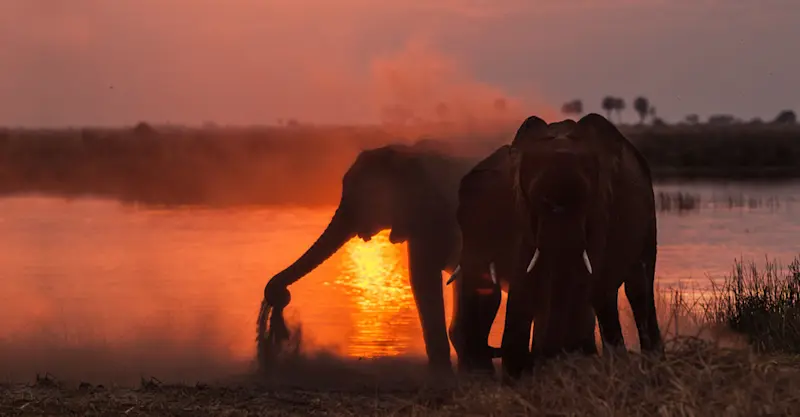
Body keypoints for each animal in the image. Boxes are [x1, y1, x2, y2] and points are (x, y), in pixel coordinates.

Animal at [450, 113, 663, 379]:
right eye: (536, 199)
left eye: (585, 201)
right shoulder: (521, 216)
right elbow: (527, 275)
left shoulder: (600, 209)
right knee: (605, 296)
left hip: (648, 214)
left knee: (637, 286)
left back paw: (648, 360)